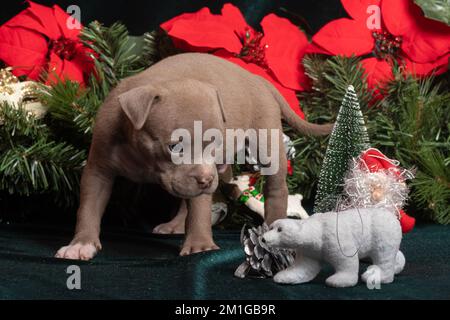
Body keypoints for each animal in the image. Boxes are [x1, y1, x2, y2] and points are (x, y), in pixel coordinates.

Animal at [54, 52, 332, 260]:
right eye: (175, 147)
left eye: (215, 142)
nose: (208, 179)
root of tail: (258, 80)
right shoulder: (98, 169)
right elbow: (88, 207)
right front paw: (81, 244)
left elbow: (199, 208)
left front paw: (199, 245)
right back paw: (176, 225)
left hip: (266, 142)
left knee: (276, 187)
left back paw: (274, 228)